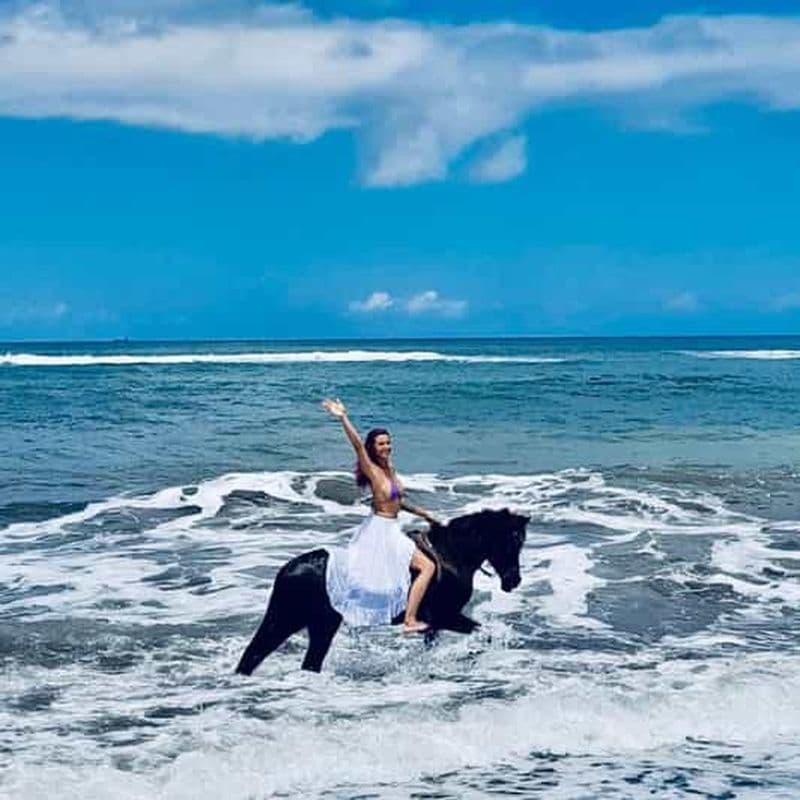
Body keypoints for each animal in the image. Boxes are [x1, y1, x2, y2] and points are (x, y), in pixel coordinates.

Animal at [235, 508, 529, 674]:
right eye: (511, 541)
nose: (513, 580)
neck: (451, 556)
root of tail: (289, 570)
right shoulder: (444, 617)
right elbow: (484, 633)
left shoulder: (435, 624)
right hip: (297, 622)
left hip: (311, 624)